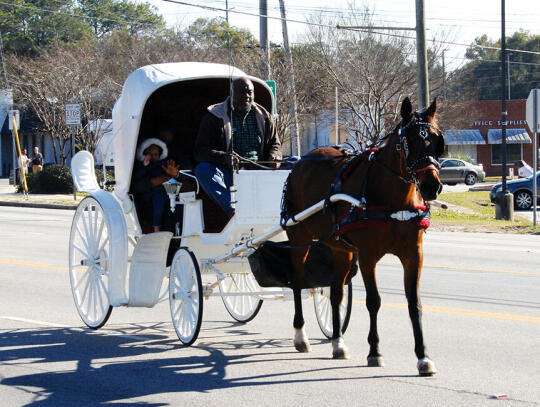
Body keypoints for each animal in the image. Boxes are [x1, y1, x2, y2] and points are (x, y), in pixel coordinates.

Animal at [284, 98, 446, 376]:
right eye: (409, 141)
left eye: (437, 140)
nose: (430, 186)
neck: (394, 199)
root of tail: (301, 162)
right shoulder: (369, 256)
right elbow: (373, 301)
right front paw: (375, 351)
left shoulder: (414, 254)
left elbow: (414, 304)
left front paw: (423, 357)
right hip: (298, 238)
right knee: (297, 284)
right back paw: (300, 336)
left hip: (340, 249)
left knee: (335, 293)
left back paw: (338, 343)